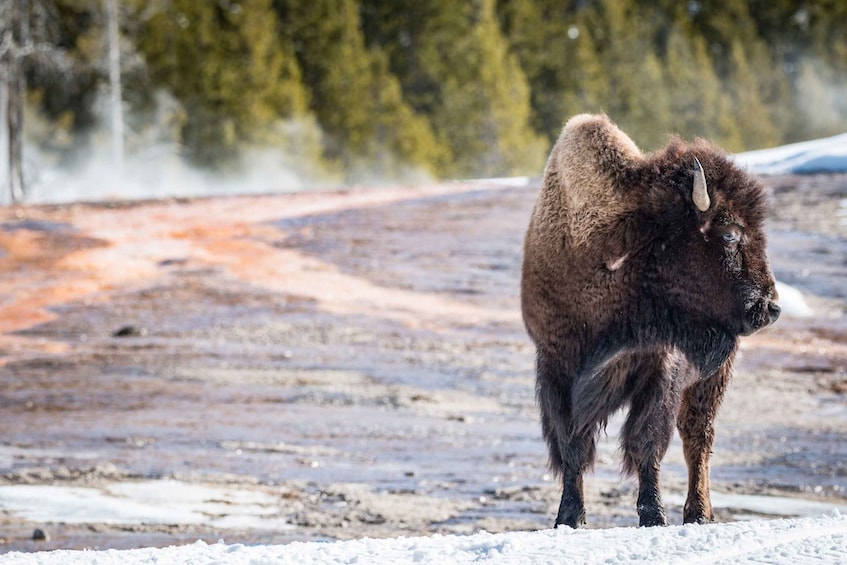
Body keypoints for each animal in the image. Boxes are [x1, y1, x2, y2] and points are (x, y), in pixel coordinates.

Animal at [524, 112, 780, 528]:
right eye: (729, 234)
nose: (770, 306)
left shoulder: (660, 367)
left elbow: (646, 441)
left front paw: (654, 516)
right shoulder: (556, 366)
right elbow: (572, 445)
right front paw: (569, 517)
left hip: (712, 378)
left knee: (698, 439)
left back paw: (698, 513)